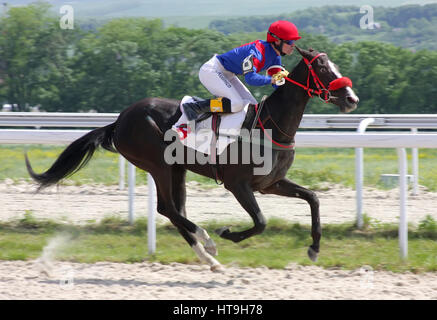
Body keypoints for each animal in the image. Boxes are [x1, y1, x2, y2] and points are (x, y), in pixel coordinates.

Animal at [24, 47, 358, 272]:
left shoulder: (270, 183)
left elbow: (313, 198)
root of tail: (120, 120)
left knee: (176, 210)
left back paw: (208, 258)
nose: (351, 99)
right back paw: (208, 241)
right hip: (157, 165)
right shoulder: (238, 184)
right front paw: (228, 233)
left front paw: (314, 248)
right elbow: (261, 221)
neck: (271, 125)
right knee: (167, 208)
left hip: (177, 169)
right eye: (324, 69)